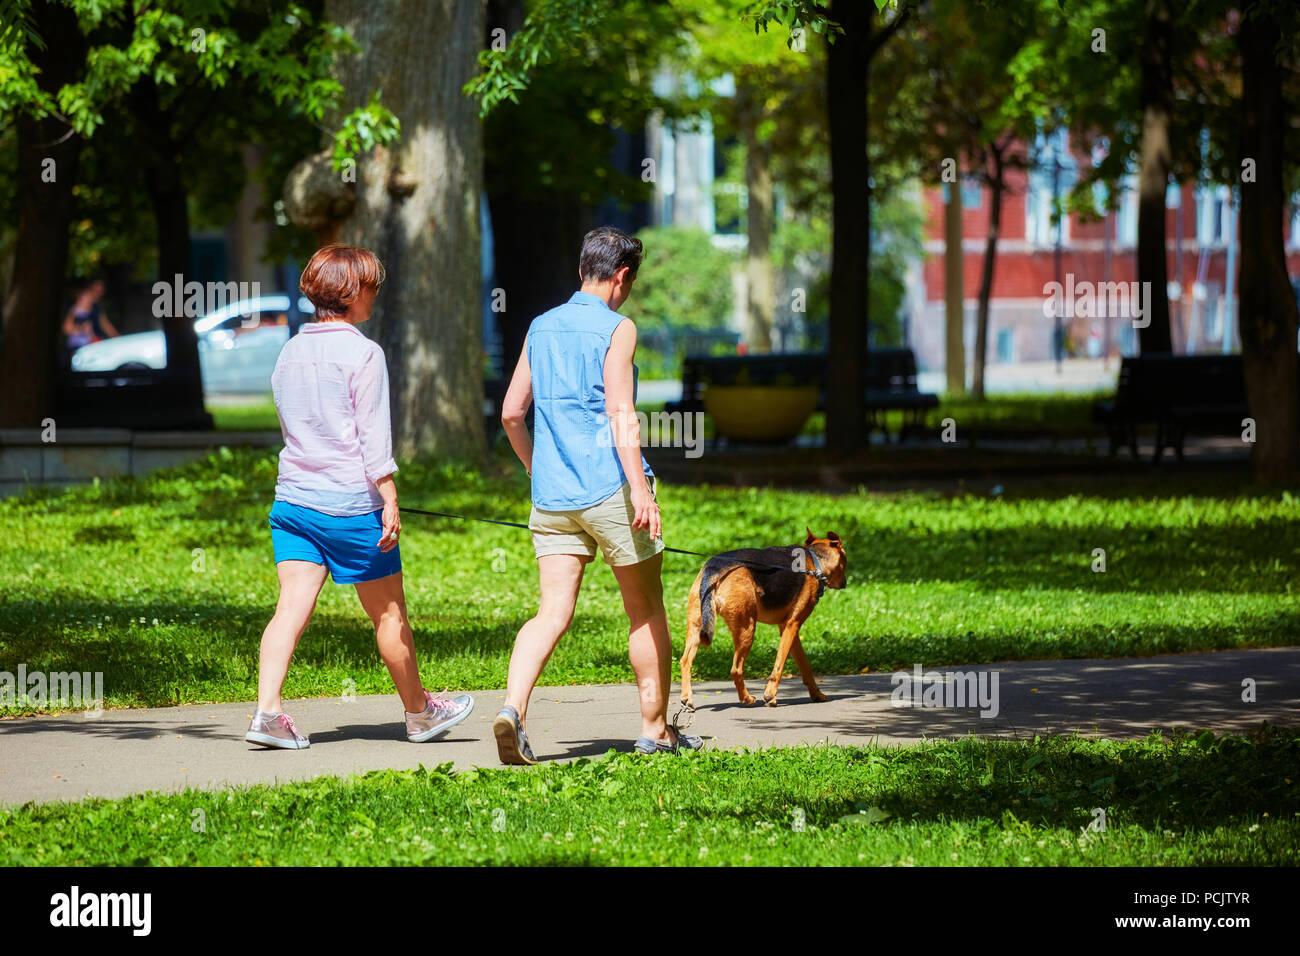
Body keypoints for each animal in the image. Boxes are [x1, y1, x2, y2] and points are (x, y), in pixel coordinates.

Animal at [676, 530, 847, 712]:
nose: (845, 583)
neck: (815, 561)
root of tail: (713, 568)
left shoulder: (789, 629)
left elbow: (805, 667)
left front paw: (817, 695)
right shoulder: (792, 625)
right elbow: (779, 665)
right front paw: (770, 696)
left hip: (696, 627)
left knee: (685, 661)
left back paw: (687, 699)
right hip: (747, 630)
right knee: (736, 669)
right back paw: (747, 698)